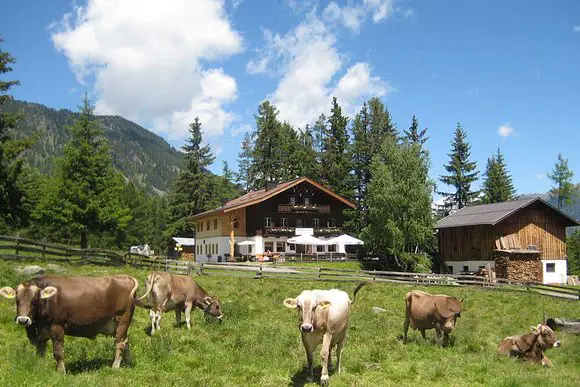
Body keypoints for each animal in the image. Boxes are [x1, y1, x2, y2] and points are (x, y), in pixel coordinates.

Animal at [0, 274, 138, 374]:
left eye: (35, 299)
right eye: (17, 300)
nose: (23, 320)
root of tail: (124, 276)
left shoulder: (57, 328)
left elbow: (58, 353)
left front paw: (61, 372)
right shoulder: (42, 333)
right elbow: (40, 352)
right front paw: (40, 368)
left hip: (122, 320)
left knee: (120, 343)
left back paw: (115, 367)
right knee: (126, 340)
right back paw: (127, 362)